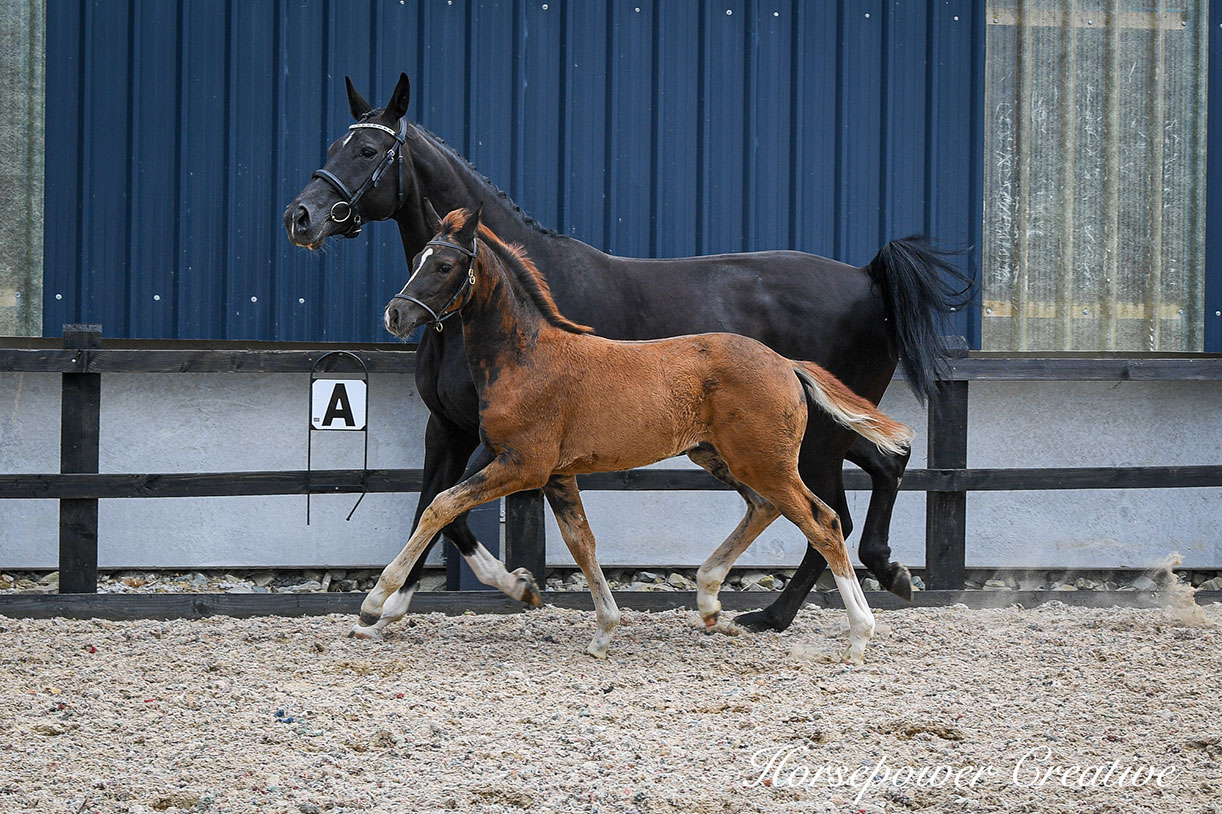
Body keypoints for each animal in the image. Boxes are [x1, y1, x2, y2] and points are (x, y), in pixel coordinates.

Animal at [359, 206, 909, 664]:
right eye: (418, 257)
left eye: (444, 266)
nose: (395, 313)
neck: (526, 357)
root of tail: (786, 364)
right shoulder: (557, 474)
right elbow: (581, 541)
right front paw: (602, 628)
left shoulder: (522, 465)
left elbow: (439, 506)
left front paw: (374, 603)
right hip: (719, 457)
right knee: (766, 507)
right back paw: (709, 597)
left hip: (765, 462)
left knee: (824, 521)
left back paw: (857, 635)